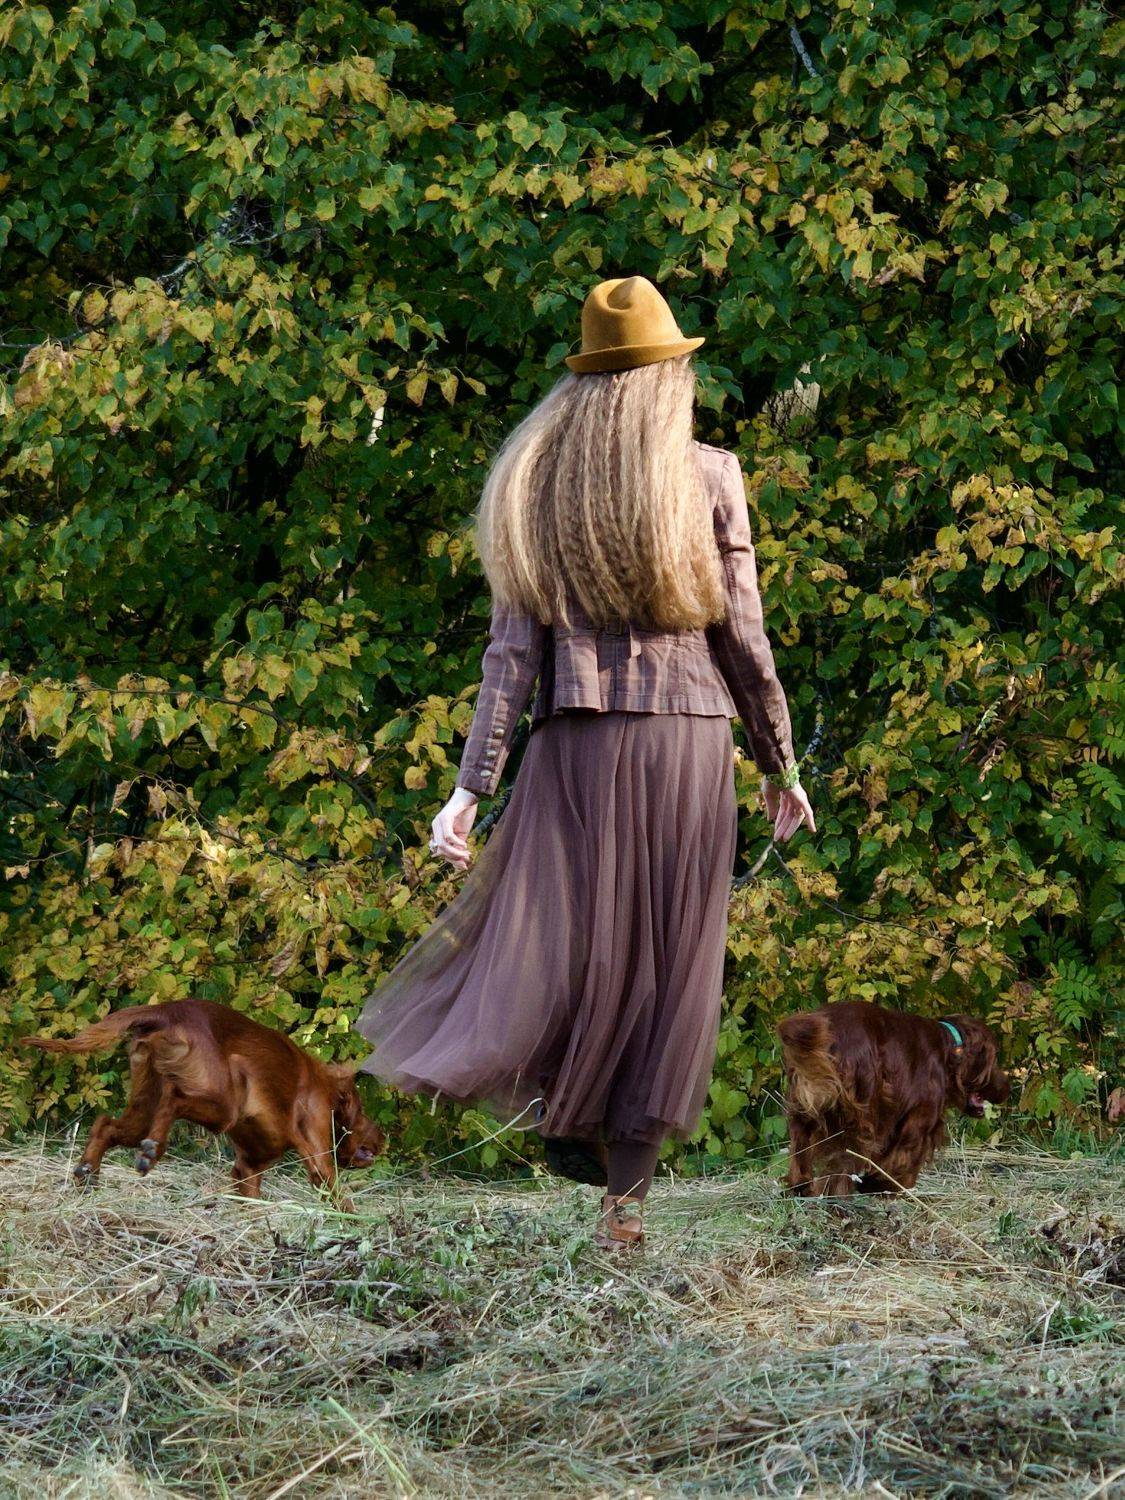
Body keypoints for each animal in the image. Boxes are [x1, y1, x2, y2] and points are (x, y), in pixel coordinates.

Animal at [22, 999, 385, 1198]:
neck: (327, 1089)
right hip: (223, 1103)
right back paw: (151, 1153)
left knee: (106, 1124)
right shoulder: (320, 1158)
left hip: (143, 1102)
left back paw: (87, 1172)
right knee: (174, 1098)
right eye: (363, 1112)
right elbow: (338, 1196)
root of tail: (166, 1011)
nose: (384, 1139)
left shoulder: (248, 1167)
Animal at [778, 1001, 1010, 1196]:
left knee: (800, 1152)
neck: (950, 1048)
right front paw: (887, 1185)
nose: (1008, 1087)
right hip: (857, 1118)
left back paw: (800, 1188)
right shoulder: (919, 1116)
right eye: (994, 1058)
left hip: (803, 1113)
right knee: (840, 1165)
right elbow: (906, 1153)